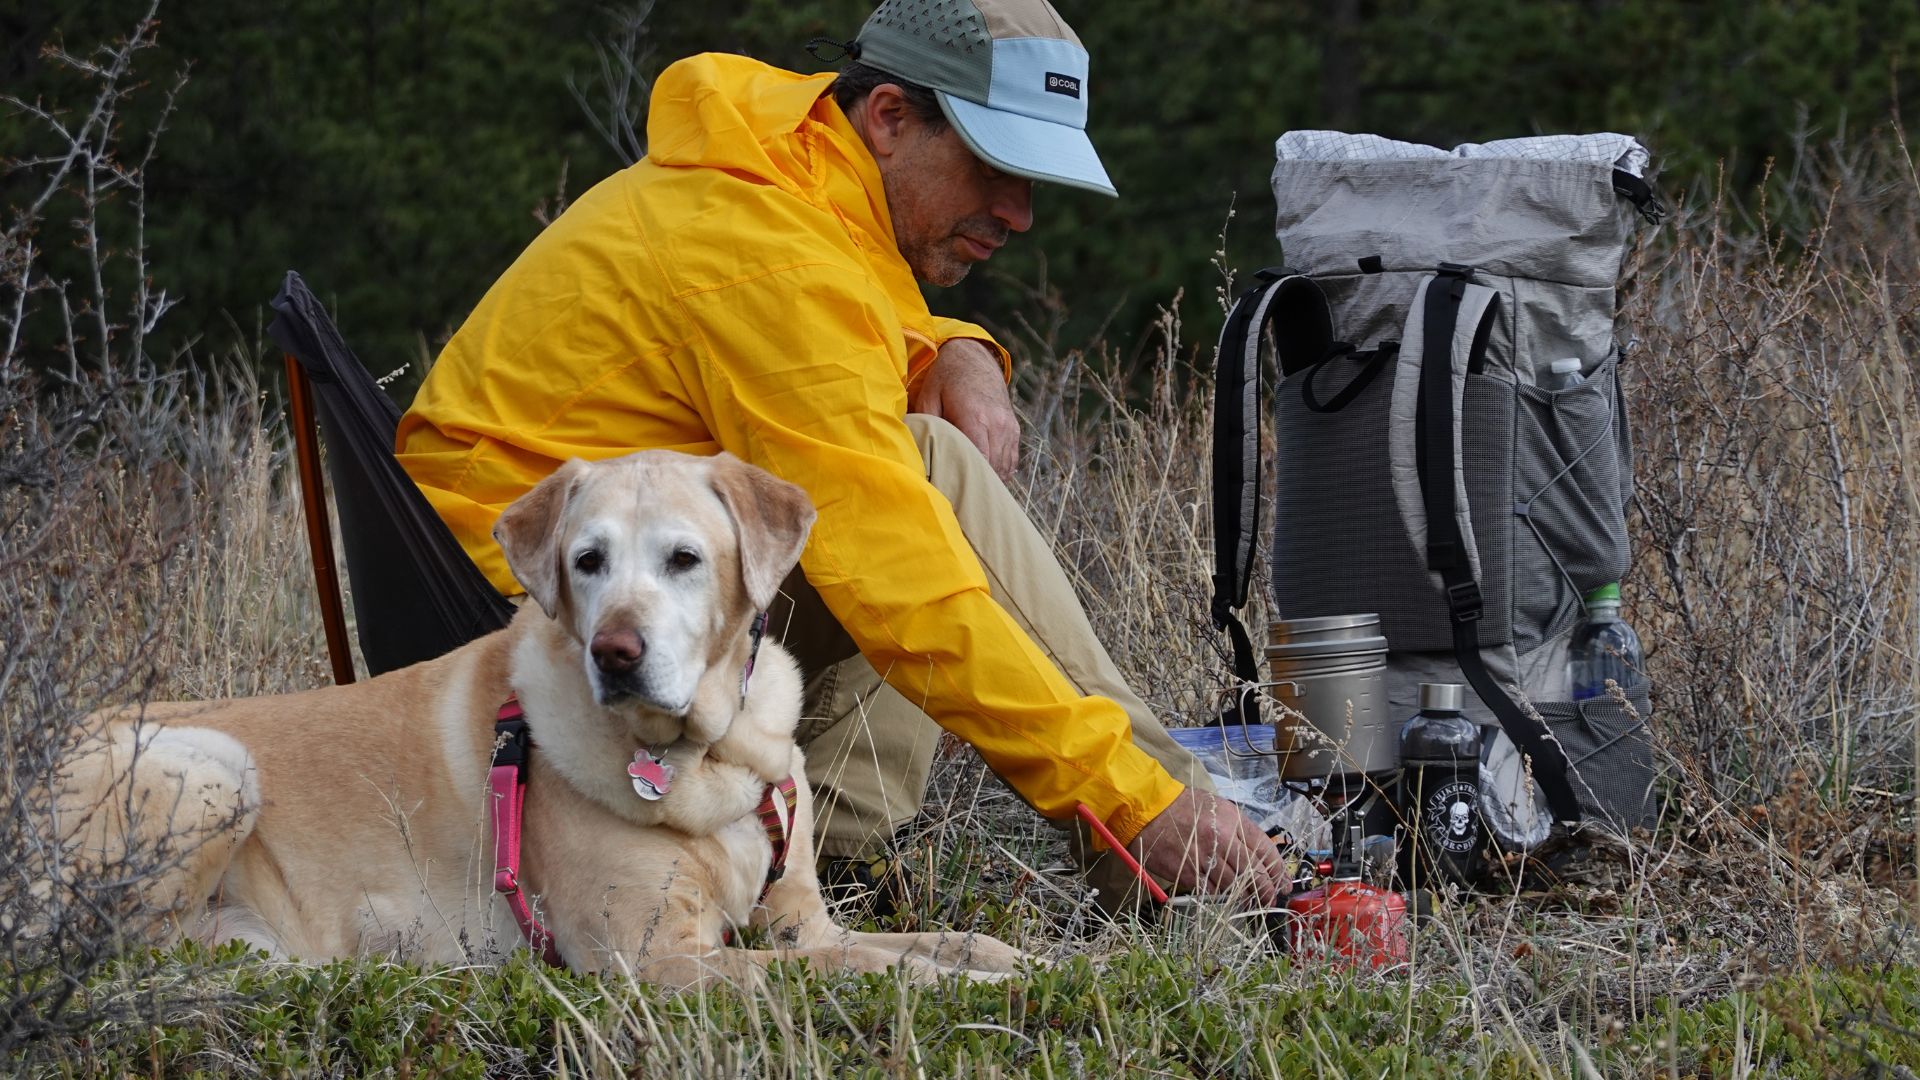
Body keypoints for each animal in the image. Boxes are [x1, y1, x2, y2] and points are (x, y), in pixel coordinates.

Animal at [56, 449, 1021, 980]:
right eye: (587, 560)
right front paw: (969, 987)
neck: (709, 756)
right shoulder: (660, 962)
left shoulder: (799, 921)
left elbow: (922, 944)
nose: (616, 652)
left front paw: (1017, 961)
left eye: (684, 559)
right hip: (212, 764)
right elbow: (849, 975)